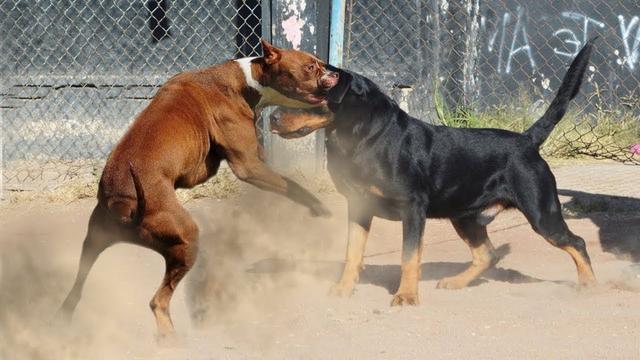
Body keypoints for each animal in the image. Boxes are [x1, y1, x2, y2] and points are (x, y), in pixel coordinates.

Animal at [60, 40, 340, 338]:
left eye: (319, 62)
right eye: (309, 67)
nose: (334, 73)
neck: (247, 79)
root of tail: (123, 207)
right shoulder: (248, 165)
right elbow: (291, 185)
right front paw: (318, 206)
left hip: (94, 242)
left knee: (76, 290)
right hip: (186, 237)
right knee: (158, 301)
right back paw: (169, 338)